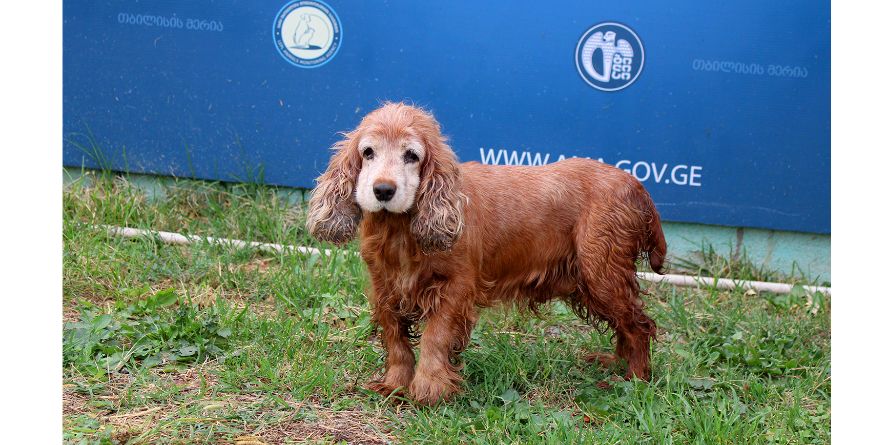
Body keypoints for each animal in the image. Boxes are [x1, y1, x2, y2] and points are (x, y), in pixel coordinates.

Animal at [308, 102, 668, 404]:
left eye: (411, 155)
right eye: (368, 152)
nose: (383, 190)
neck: (401, 229)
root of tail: (636, 185)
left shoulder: (456, 288)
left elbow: (435, 337)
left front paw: (429, 388)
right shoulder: (384, 287)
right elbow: (395, 338)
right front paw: (395, 384)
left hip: (601, 272)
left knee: (638, 325)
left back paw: (633, 380)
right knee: (626, 323)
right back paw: (615, 363)